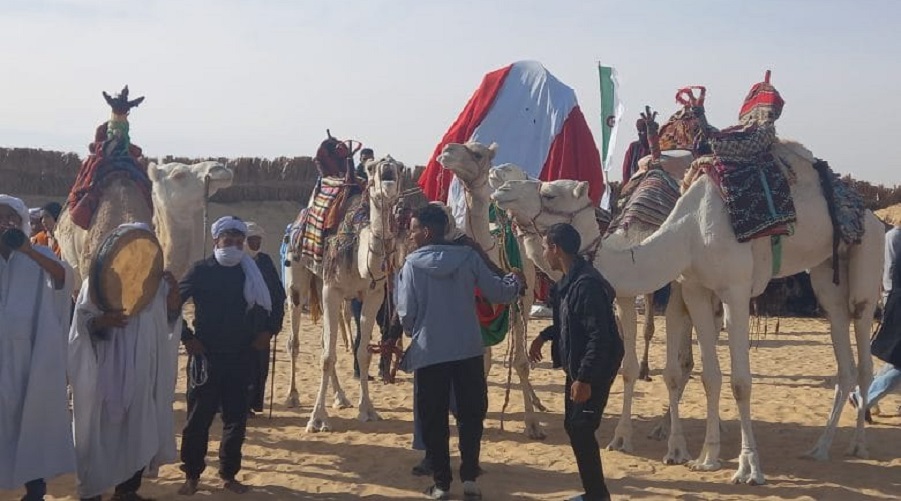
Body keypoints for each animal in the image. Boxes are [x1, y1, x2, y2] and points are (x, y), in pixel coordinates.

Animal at [284, 155, 404, 430]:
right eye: (371, 167)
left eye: (400, 167)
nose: (387, 166)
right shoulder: (332, 290)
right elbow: (328, 357)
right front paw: (317, 419)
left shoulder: (374, 295)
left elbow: (362, 352)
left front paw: (367, 410)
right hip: (297, 280)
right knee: (294, 339)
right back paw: (293, 396)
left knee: (323, 341)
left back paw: (340, 397)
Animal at [434, 142, 544, 438]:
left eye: (477, 153)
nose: (447, 151)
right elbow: (480, 360)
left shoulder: (518, 304)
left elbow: (521, 363)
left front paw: (532, 424)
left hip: (526, 300)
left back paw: (537, 403)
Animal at [488, 138, 884, 484]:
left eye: (549, 192)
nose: (501, 188)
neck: (689, 232)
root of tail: (870, 211)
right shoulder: (695, 288)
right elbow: (708, 376)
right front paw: (706, 458)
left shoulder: (734, 290)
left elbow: (739, 382)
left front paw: (747, 468)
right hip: (826, 274)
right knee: (843, 354)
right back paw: (820, 448)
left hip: (868, 260)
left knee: (864, 351)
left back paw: (858, 445)